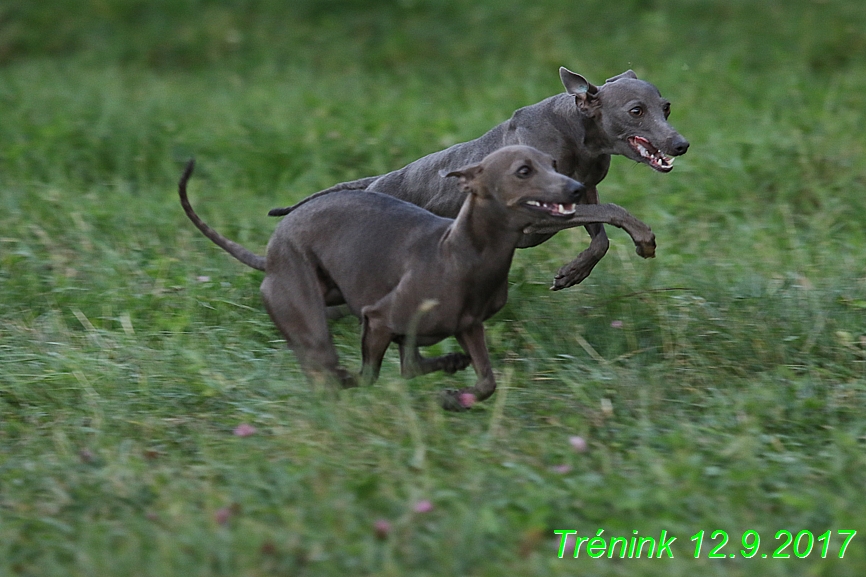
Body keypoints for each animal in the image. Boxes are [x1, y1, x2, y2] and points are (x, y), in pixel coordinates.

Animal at [182, 146, 656, 408]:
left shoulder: (468, 326)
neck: (463, 252)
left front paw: (456, 396)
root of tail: (272, 248)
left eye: (553, 163)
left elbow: (484, 380)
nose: (575, 189)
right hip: (310, 318)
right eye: (523, 171)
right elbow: (377, 373)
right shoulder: (378, 319)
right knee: (330, 366)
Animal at [270, 67, 688, 290]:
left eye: (666, 107)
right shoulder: (534, 215)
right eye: (636, 111)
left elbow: (600, 235)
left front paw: (573, 272)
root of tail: (374, 182)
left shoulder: (583, 190)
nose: (680, 144)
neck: (576, 132)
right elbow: (614, 210)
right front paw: (644, 237)